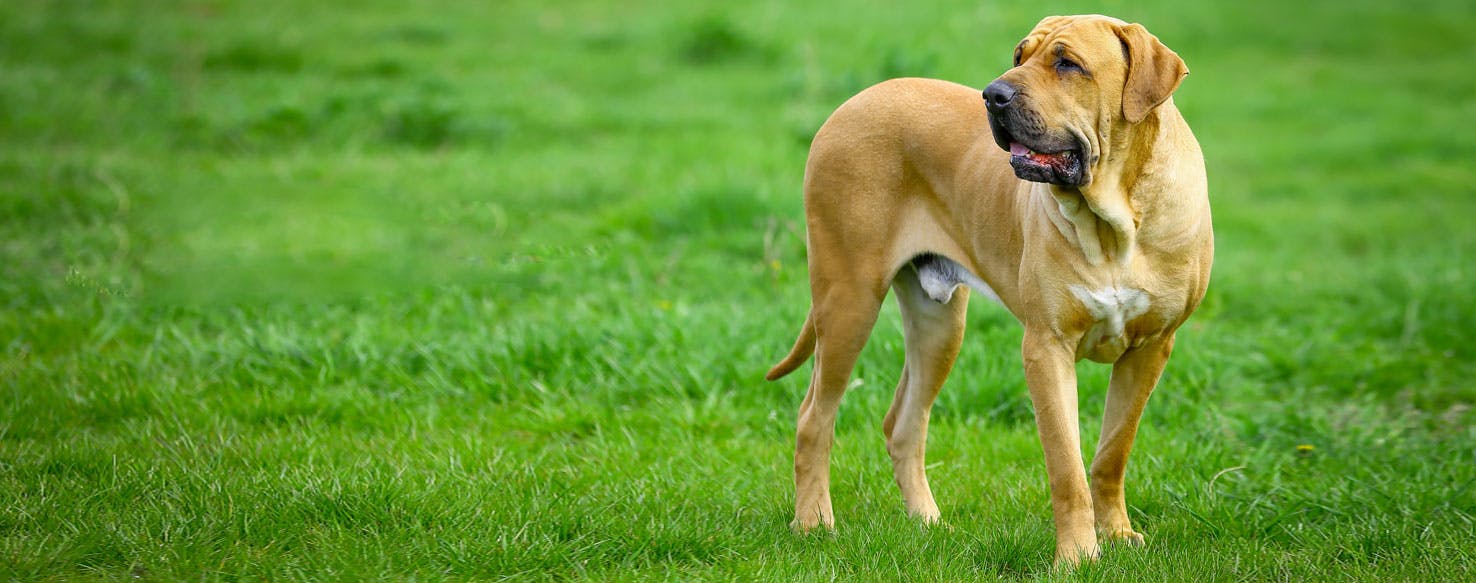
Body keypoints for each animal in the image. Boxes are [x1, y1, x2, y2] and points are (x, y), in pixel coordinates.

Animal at [761, 15, 1210, 569]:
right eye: (1020, 56)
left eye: (1068, 63)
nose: (993, 95)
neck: (1115, 220)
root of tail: (854, 101)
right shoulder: (1046, 348)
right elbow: (1067, 466)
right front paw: (1077, 556)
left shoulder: (1151, 348)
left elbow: (1112, 452)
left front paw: (1118, 535)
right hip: (849, 299)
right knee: (813, 419)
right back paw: (813, 523)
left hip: (940, 325)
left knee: (903, 425)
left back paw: (929, 523)